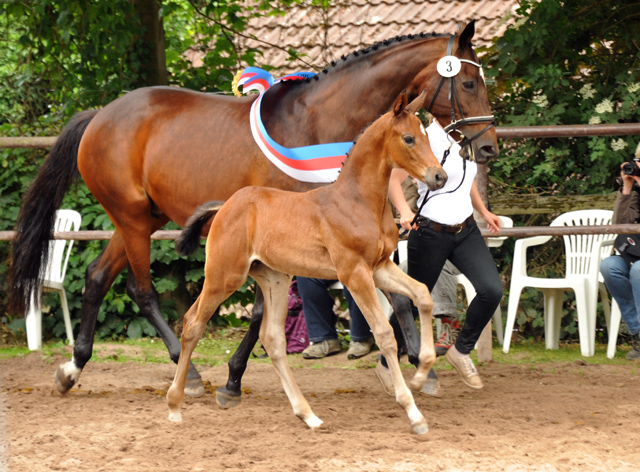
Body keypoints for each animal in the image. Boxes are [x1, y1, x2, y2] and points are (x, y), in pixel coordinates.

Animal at [162, 89, 448, 436]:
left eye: (426, 136)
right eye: (408, 138)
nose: (440, 176)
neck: (358, 201)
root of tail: (225, 206)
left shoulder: (380, 268)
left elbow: (422, 294)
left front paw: (421, 375)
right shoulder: (354, 273)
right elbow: (383, 334)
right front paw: (413, 411)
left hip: (274, 278)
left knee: (272, 339)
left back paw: (308, 414)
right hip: (224, 276)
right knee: (193, 323)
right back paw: (175, 406)